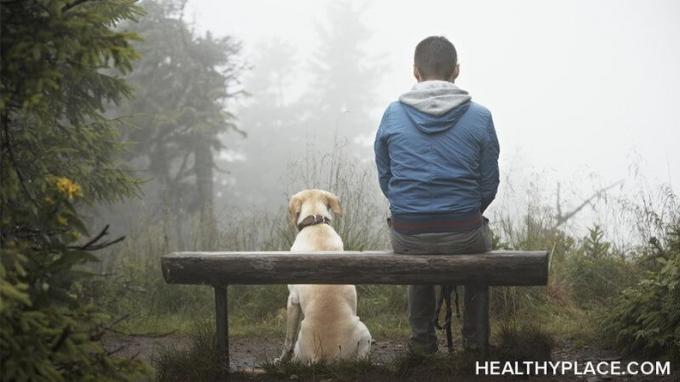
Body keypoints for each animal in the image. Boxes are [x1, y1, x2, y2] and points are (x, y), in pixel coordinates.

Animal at [276, 190, 372, 362]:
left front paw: (281, 360)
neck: (316, 224)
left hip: (363, 330)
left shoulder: (292, 299)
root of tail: (322, 356)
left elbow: (288, 339)